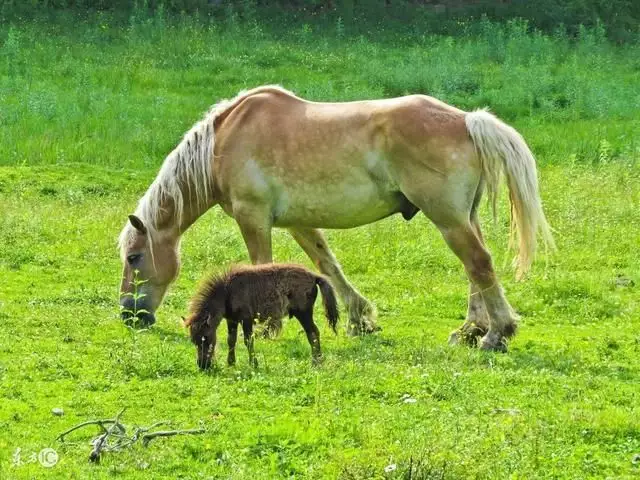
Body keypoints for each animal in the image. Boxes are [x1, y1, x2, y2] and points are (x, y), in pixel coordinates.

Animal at [120, 84, 556, 350]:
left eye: (134, 257)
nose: (129, 314)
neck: (222, 143)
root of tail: (467, 120)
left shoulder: (253, 217)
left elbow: (262, 265)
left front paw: (266, 327)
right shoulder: (297, 222)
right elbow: (326, 263)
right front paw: (359, 318)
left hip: (448, 220)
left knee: (479, 264)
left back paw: (496, 335)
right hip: (463, 219)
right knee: (474, 272)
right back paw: (470, 330)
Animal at [181, 264, 338, 370]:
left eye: (205, 337)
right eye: (193, 340)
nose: (203, 366)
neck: (227, 292)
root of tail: (314, 276)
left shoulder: (246, 320)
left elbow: (248, 341)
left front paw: (254, 364)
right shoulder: (231, 320)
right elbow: (231, 340)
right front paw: (230, 363)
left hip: (304, 313)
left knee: (313, 333)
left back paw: (316, 362)